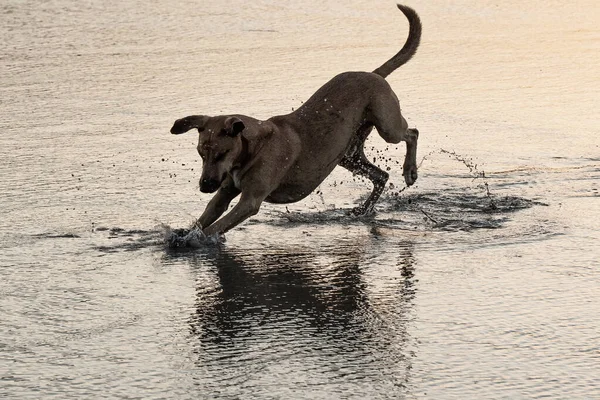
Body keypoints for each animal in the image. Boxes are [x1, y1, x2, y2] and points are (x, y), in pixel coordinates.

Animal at [169, 3, 422, 238]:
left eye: (222, 154)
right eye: (201, 154)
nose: (205, 186)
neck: (254, 148)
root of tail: (374, 74)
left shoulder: (250, 201)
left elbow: (216, 226)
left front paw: (194, 240)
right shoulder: (224, 191)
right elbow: (208, 215)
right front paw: (185, 232)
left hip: (387, 125)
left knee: (412, 133)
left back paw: (409, 171)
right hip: (348, 155)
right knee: (381, 175)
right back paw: (364, 209)